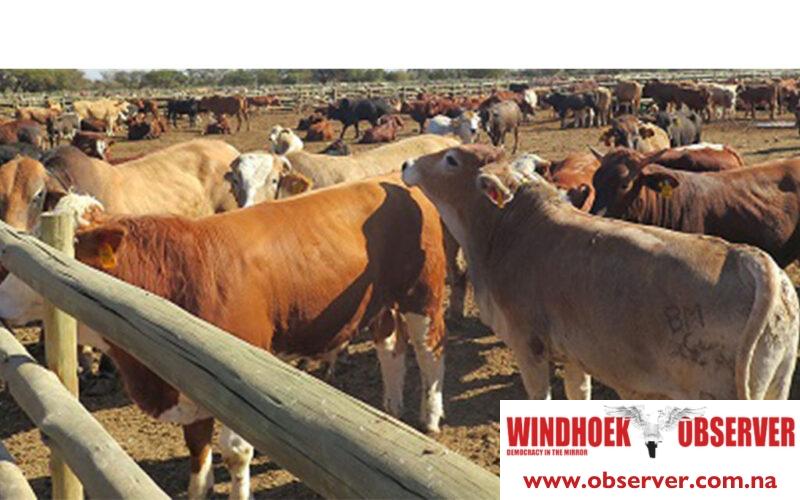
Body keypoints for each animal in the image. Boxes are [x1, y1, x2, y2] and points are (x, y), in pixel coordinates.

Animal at [0, 174, 448, 498]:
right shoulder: (191, 378)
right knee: (390, 348)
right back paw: (392, 408)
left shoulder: (240, 373)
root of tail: (395, 182)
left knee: (429, 352)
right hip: (383, 304)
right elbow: (198, 449)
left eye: (52, 248)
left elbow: (235, 452)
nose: (2, 298)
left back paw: (429, 419)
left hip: (422, 294)